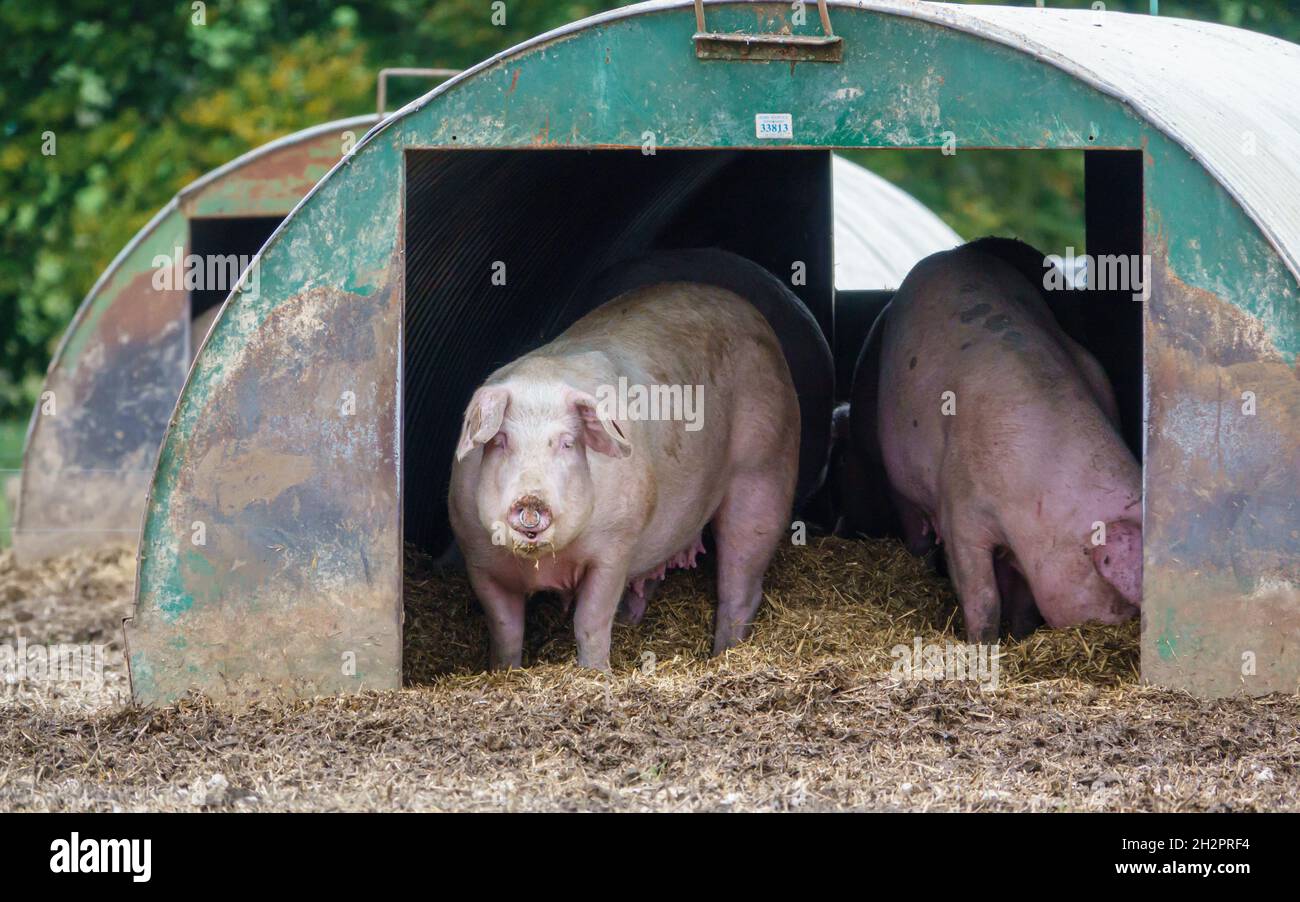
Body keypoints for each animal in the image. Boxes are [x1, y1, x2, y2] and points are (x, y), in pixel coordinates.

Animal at [449, 281, 800, 670]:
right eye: (501, 442)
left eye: (567, 443)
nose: (530, 500)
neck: (543, 563)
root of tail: (746, 308)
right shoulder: (477, 557)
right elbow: (504, 630)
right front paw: (505, 671)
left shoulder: (615, 545)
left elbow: (589, 621)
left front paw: (596, 671)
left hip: (764, 470)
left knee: (741, 586)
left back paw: (722, 653)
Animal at [849, 238, 1141, 641]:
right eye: (1120, 600)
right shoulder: (961, 513)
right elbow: (982, 597)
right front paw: (983, 643)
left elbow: (1022, 599)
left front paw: (1019, 635)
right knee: (913, 525)